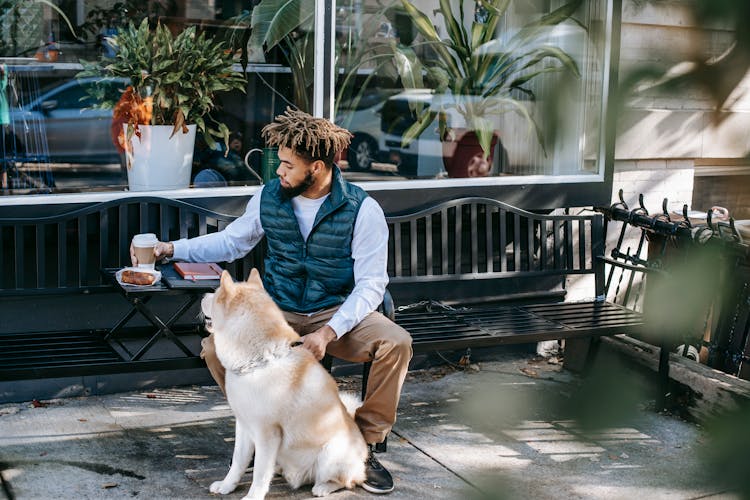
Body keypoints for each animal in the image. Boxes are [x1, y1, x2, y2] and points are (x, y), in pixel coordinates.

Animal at [201, 270, 368, 500]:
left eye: (215, 294)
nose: (202, 296)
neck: (259, 361)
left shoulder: (267, 434)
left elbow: (260, 472)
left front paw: (253, 496)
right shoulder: (243, 425)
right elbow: (238, 462)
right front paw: (227, 485)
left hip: (330, 453)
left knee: (348, 481)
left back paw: (323, 487)